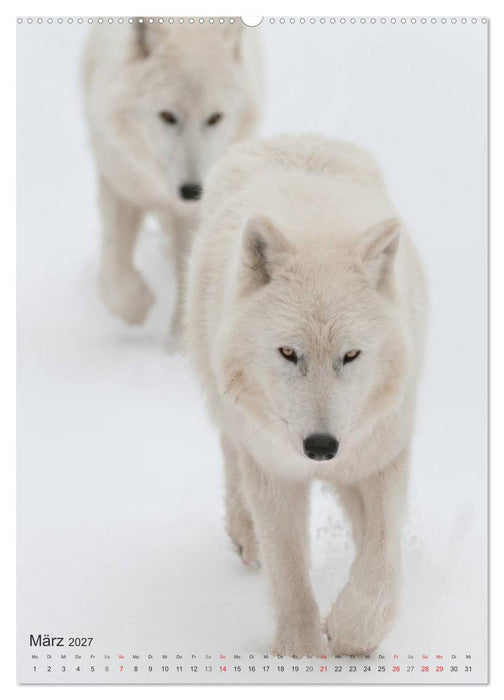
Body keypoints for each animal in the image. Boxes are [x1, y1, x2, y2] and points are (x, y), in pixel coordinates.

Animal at [82, 20, 262, 343]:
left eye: (214, 118)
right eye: (167, 115)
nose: (192, 190)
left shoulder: (193, 211)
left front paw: (179, 342)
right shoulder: (120, 179)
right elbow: (115, 274)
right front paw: (137, 305)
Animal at [185, 135, 427, 657]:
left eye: (351, 355)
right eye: (288, 352)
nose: (320, 447)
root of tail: (291, 137)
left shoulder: (380, 454)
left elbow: (382, 558)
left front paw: (353, 631)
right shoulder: (274, 468)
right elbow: (289, 568)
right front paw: (299, 654)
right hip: (229, 405)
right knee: (232, 454)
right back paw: (244, 535)